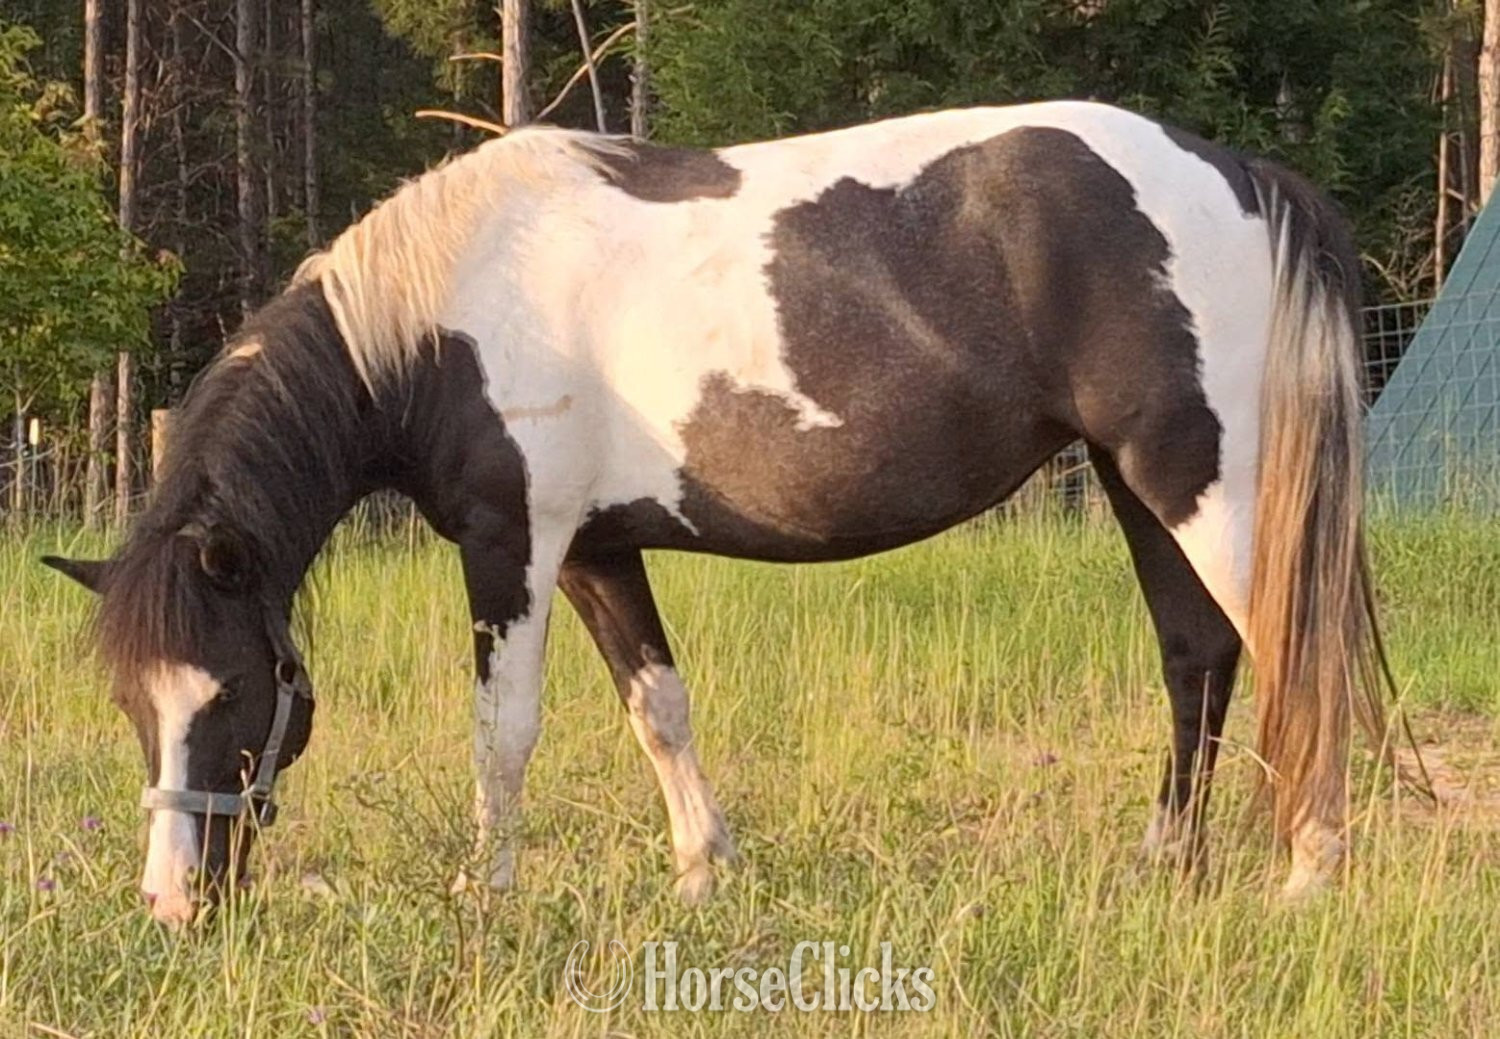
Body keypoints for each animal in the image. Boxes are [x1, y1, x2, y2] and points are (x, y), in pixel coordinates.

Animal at [45, 100, 1388, 925]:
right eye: (131, 705)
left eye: (233, 693)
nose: (171, 903)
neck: (438, 319)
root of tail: (1238, 175)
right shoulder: (596, 551)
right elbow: (658, 706)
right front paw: (703, 871)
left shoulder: (511, 542)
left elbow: (504, 731)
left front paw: (491, 894)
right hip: (1136, 482)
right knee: (1198, 656)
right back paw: (1165, 865)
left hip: (1199, 483)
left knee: (1292, 653)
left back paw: (1309, 876)